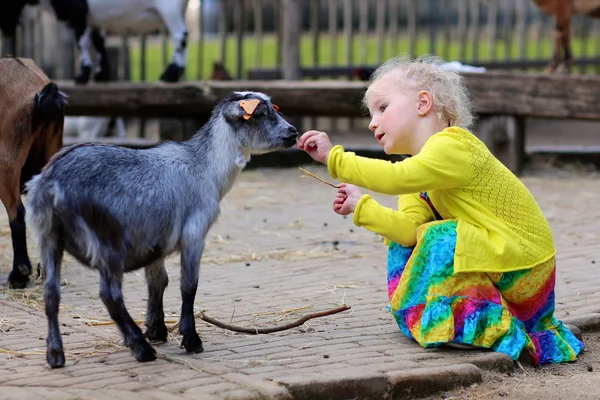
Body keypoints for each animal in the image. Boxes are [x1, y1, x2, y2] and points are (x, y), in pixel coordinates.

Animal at [25, 91, 298, 368]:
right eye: (260, 114)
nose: (293, 132)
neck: (205, 168)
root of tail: (51, 182)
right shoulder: (193, 233)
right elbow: (188, 285)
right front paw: (190, 339)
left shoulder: (156, 241)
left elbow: (158, 282)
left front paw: (156, 330)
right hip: (107, 241)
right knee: (110, 294)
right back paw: (141, 348)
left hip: (48, 237)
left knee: (51, 293)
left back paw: (56, 355)